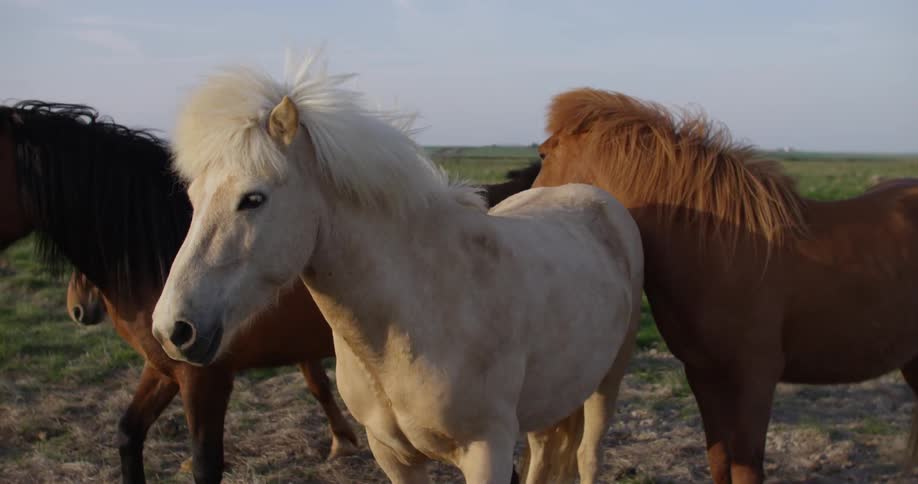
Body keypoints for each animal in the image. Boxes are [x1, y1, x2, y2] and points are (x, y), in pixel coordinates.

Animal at [0, 100, 540, 484]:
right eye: (192, 201)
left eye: (252, 200)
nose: (78, 308)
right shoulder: (166, 366)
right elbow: (127, 435)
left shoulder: (206, 378)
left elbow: (205, 464)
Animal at [150, 52, 643, 484]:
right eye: (192, 198)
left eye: (253, 198)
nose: (172, 330)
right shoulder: (394, 456)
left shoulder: (487, 451)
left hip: (607, 382)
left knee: (588, 456)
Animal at [533, 87, 918, 483]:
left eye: (543, 153)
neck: (725, 248)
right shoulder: (703, 374)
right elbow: (720, 460)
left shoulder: (755, 378)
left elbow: (746, 465)